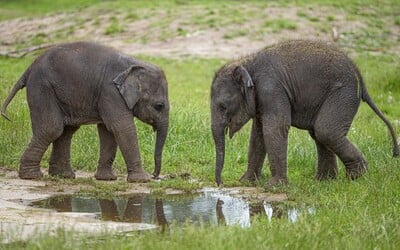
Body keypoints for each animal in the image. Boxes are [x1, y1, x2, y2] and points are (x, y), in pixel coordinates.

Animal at [0, 40, 169, 182]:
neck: (134, 64)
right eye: (159, 106)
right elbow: (122, 127)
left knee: (66, 131)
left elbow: (107, 131)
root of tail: (30, 67)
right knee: (51, 129)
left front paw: (107, 179)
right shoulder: (110, 92)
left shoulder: (107, 95)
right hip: (41, 87)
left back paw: (63, 176)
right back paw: (32, 176)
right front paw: (142, 180)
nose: (155, 176)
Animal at [211, 39, 398, 186]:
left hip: (343, 93)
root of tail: (359, 74)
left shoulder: (272, 89)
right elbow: (258, 133)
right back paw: (325, 181)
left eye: (223, 106)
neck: (246, 62)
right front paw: (246, 181)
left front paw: (273, 186)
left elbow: (275, 128)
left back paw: (356, 176)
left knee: (326, 131)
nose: (221, 184)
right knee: (319, 133)